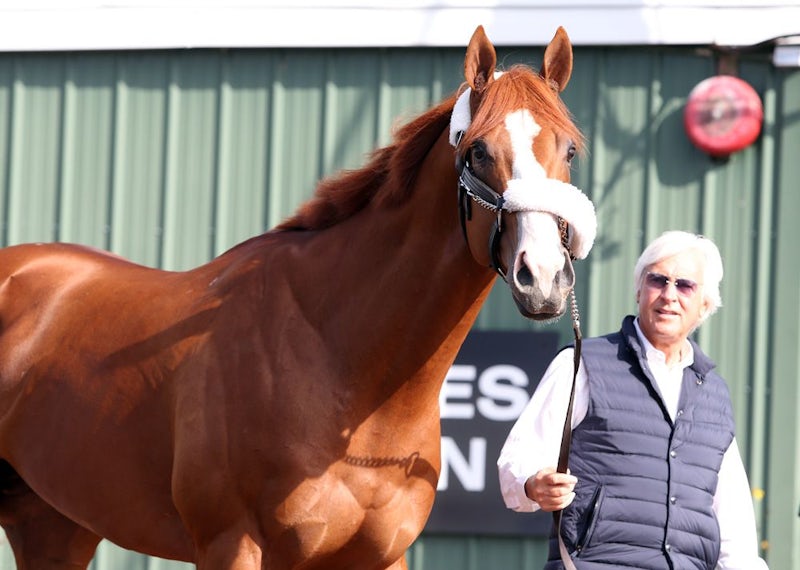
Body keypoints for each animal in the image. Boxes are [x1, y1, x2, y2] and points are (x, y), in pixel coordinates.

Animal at [0, 25, 595, 569]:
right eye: (478, 151)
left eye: (568, 150)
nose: (543, 277)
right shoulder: (232, 547)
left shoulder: (382, 556)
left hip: (54, 523)